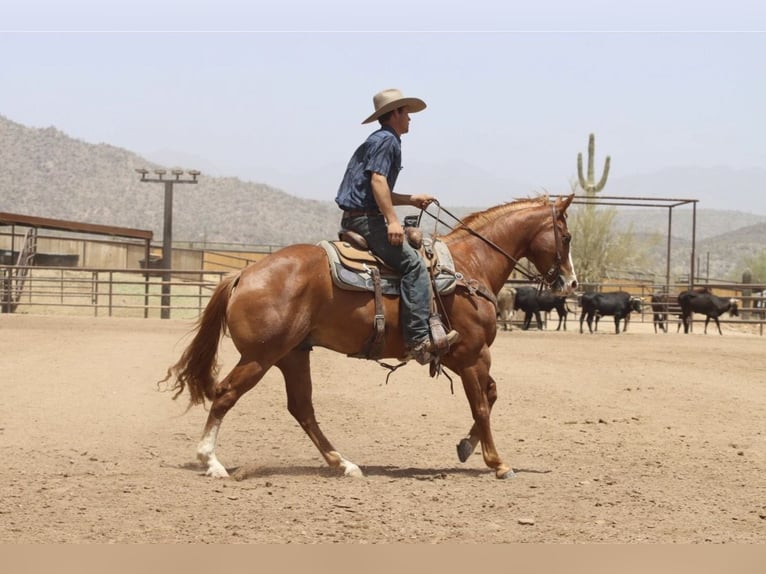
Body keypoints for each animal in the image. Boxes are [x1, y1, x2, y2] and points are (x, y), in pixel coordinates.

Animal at [160, 194, 577, 480]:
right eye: (568, 236)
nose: (571, 283)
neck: (468, 266)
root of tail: (244, 274)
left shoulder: (464, 357)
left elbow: (490, 396)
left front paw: (465, 447)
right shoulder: (473, 355)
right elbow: (482, 405)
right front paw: (498, 462)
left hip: (293, 354)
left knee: (302, 408)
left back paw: (343, 463)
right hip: (261, 357)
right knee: (226, 394)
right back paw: (212, 461)